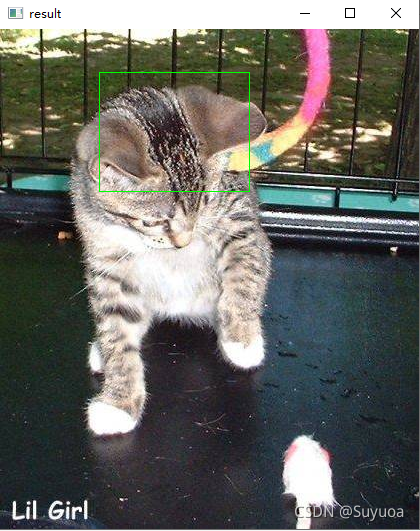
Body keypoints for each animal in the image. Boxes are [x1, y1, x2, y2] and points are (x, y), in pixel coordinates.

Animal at [70, 86, 272, 436]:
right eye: (152, 221)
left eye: (204, 203)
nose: (183, 242)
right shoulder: (105, 261)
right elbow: (116, 328)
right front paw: (119, 401)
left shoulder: (239, 217)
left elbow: (245, 270)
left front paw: (242, 337)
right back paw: (101, 350)